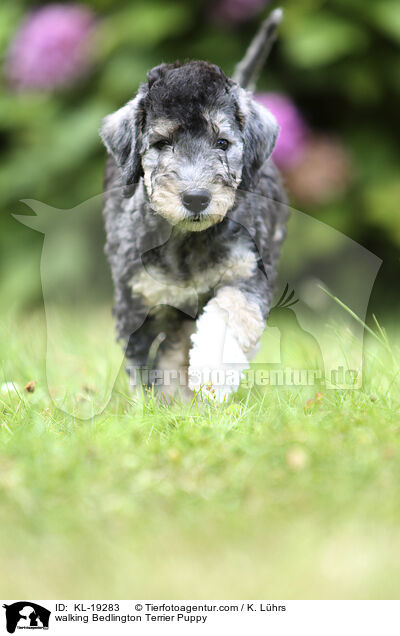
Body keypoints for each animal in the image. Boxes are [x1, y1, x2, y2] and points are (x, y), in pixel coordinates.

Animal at [99, 7, 288, 400]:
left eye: (222, 143)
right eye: (161, 143)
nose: (196, 198)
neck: (185, 241)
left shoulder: (246, 275)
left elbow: (228, 318)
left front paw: (213, 375)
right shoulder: (139, 302)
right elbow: (146, 366)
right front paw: (153, 406)